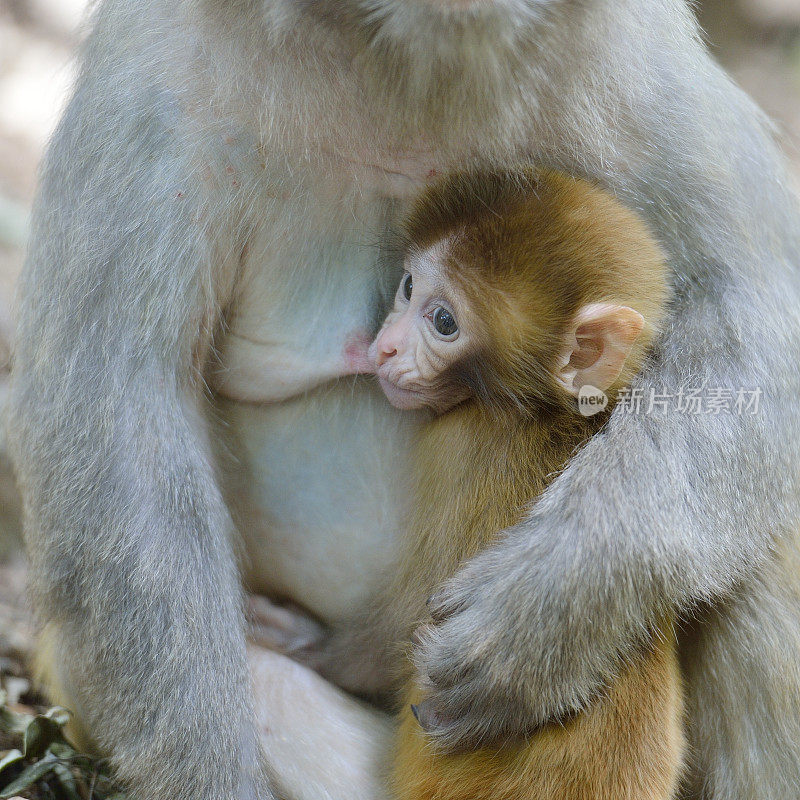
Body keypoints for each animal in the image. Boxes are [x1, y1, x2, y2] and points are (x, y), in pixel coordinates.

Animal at [7, 0, 800, 796]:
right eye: (409, 289)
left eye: (443, 321)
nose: (386, 347)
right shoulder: (152, 65)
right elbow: (124, 421)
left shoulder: (629, 43)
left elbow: (749, 318)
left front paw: (545, 616)